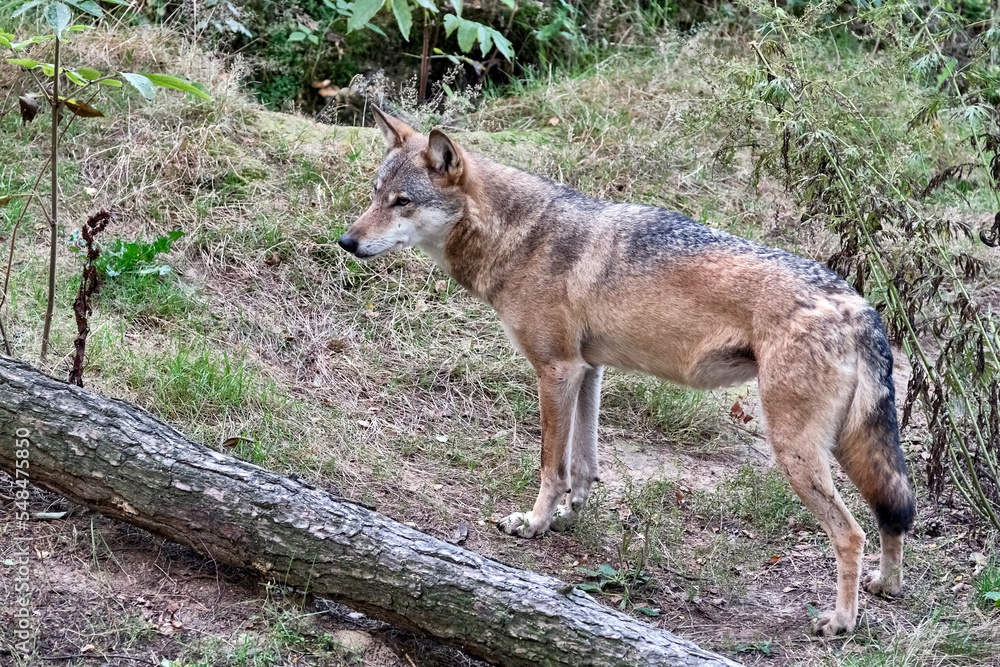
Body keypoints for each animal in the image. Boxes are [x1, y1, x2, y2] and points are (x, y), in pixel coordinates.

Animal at [337, 108, 916, 636]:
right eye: (374, 194)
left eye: (402, 202)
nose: (347, 241)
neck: (520, 237)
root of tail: (861, 306)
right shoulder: (587, 371)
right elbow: (583, 465)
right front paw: (570, 516)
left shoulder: (555, 370)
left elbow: (550, 466)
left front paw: (533, 524)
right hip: (849, 445)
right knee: (891, 514)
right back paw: (886, 586)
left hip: (796, 450)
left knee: (851, 533)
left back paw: (841, 622)